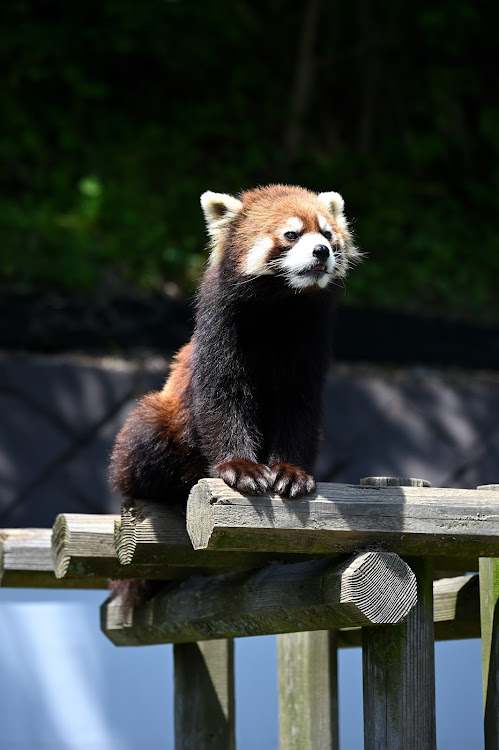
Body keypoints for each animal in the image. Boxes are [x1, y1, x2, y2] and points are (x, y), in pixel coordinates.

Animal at [110, 184, 360, 512]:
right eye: (291, 234)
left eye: (328, 234)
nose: (322, 250)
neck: (280, 306)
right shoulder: (221, 327)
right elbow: (224, 396)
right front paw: (241, 467)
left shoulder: (310, 336)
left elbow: (298, 403)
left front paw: (291, 472)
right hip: (161, 422)